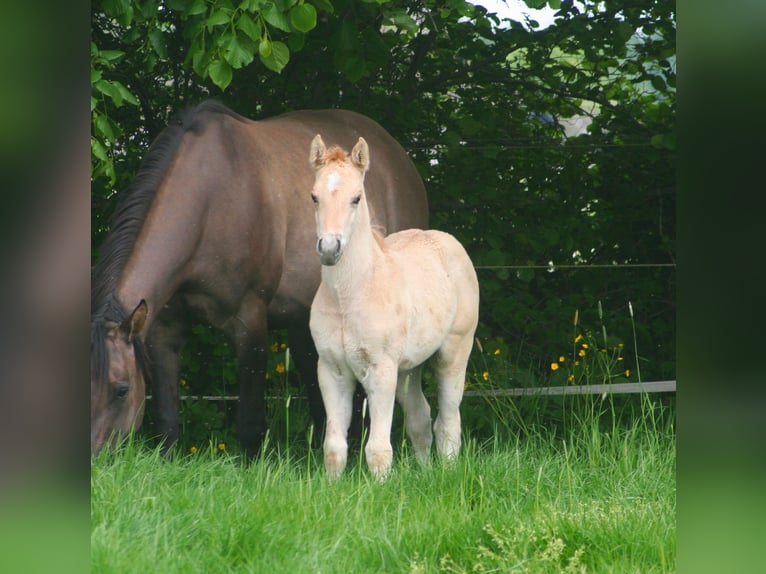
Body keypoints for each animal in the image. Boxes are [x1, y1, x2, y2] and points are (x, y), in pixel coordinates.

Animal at [90, 100, 429, 457]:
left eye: (121, 389)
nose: (95, 456)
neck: (208, 204)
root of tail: (399, 157)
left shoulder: (250, 321)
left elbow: (251, 424)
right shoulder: (165, 329)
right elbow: (166, 422)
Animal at [307, 135, 480, 480]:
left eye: (356, 198)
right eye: (314, 197)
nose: (330, 249)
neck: (350, 296)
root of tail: (444, 239)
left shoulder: (381, 370)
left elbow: (377, 450)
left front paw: (380, 488)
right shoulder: (332, 371)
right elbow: (334, 448)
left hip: (454, 354)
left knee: (448, 422)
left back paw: (447, 474)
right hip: (409, 369)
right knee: (420, 418)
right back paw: (425, 472)